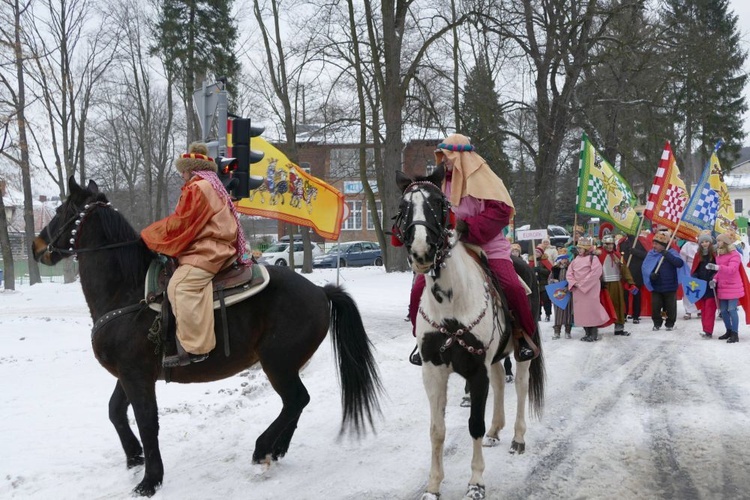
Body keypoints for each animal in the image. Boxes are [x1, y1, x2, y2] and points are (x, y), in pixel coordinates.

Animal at [30, 176, 382, 496]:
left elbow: (147, 422)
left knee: (296, 399)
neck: (128, 291)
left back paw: (263, 447)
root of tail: (321, 291)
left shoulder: (136, 376)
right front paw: (134, 458)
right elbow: (116, 412)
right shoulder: (130, 375)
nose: (36, 246)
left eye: (61, 210)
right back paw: (275, 448)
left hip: (277, 364)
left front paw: (150, 480)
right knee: (295, 403)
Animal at [394, 167, 548, 500]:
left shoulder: (476, 370)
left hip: (522, 353)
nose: (422, 251)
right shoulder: (433, 370)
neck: (452, 302)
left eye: (439, 203)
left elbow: (473, 423)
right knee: (501, 382)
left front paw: (476, 482)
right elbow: (437, 430)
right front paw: (433, 486)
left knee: (520, 386)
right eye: (403, 206)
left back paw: (517, 438)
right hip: (496, 356)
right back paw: (495, 431)